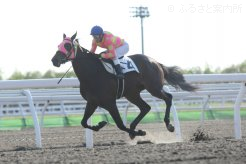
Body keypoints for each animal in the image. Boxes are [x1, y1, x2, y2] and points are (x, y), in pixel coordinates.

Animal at [51, 32, 197, 139]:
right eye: (58, 45)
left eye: (67, 45)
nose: (54, 60)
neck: (92, 73)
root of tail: (155, 62)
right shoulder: (92, 102)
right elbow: (83, 122)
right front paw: (100, 124)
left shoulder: (110, 102)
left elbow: (120, 124)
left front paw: (140, 132)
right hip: (132, 94)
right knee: (146, 107)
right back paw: (133, 127)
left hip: (153, 88)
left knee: (168, 98)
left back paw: (168, 125)